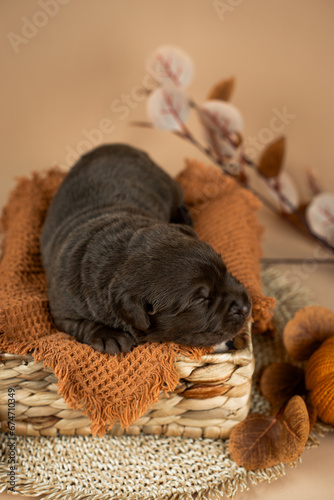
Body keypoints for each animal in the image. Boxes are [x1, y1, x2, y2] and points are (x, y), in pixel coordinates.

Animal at [40, 144, 250, 356]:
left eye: (225, 270)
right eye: (201, 299)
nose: (245, 305)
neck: (117, 259)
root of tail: (115, 145)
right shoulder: (62, 310)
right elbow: (81, 323)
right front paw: (110, 336)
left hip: (170, 186)